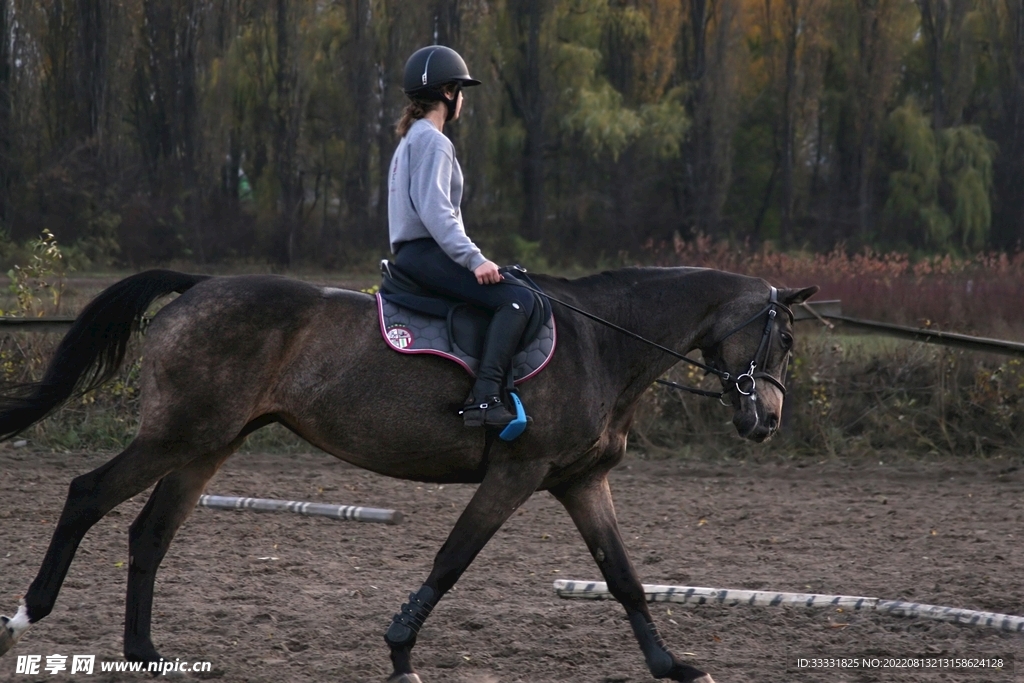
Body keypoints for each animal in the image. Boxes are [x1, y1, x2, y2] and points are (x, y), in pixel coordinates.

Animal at [0, 266, 817, 683]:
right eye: (782, 338)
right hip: (180, 434)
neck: (601, 343)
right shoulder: (517, 474)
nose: (768, 420)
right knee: (87, 495)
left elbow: (623, 577)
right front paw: (399, 652)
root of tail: (198, 285)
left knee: (148, 533)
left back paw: (147, 653)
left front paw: (671, 663)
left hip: (210, 445)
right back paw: (29, 614)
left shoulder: (581, 481)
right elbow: (451, 560)